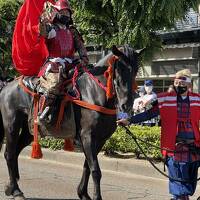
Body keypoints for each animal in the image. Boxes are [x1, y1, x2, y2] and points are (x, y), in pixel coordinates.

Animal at [0, 45, 141, 200]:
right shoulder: (87, 136)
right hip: (12, 125)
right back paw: (16, 190)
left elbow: (88, 166)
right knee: (9, 154)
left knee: (15, 152)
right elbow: (95, 170)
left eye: (136, 69)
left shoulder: (100, 139)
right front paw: (95, 196)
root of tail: (6, 86)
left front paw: (83, 193)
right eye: (120, 68)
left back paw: (10, 187)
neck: (93, 93)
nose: (126, 105)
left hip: (29, 130)